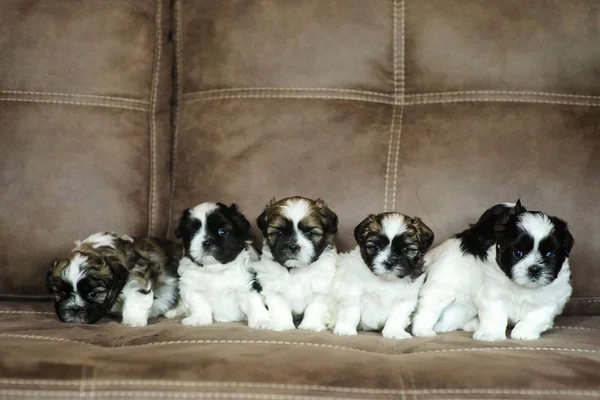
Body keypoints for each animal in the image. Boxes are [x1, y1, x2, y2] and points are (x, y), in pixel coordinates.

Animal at [47, 233, 180, 326]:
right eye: (61, 293)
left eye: (93, 294)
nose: (75, 308)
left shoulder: (136, 276)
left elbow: (136, 297)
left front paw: (133, 320)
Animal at [168, 202, 274, 330]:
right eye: (193, 232)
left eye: (222, 232)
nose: (206, 242)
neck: (216, 269)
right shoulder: (192, 289)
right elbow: (199, 304)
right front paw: (198, 319)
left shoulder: (248, 288)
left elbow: (255, 304)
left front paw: (261, 321)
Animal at [252, 197, 338, 332]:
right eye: (279, 233)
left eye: (309, 234)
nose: (293, 247)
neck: (296, 269)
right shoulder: (274, 290)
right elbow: (280, 308)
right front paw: (283, 326)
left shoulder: (321, 290)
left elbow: (314, 308)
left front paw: (310, 325)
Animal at [330, 211, 434, 340]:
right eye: (376, 247)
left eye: (406, 249)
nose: (389, 263)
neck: (386, 280)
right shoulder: (353, 291)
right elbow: (351, 312)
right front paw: (346, 330)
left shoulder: (405, 299)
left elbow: (397, 316)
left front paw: (394, 332)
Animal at [410, 202, 576, 342]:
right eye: (517, 253)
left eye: (550, 254)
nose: (534, 268)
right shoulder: (489, 293)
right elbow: (495, 315)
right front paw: (490, 335)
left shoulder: (553, 298)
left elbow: (537, 317)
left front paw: (523, 334)